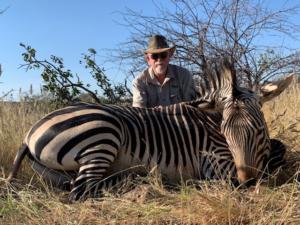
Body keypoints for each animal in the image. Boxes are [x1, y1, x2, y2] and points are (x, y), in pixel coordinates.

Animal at [6, 57, 292, 200]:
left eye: (259, 130)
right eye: (226, 133)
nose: (248, 180)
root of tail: (29, 135)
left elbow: (279, 150)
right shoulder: (216, 163)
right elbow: (270, 162)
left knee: (75, 185)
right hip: (104, 133)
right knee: (83, 189)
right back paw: (136, 182)